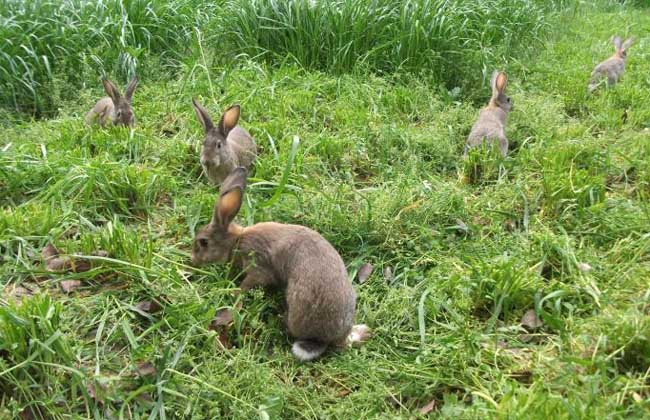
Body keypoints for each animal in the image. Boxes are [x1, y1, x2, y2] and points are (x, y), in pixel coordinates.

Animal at [191, 167, 370, 360]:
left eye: (203, 242)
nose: (193, 260)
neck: (237, 240)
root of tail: (328, 339)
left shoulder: (258, 266)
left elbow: (247, 285)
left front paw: (231, 303)